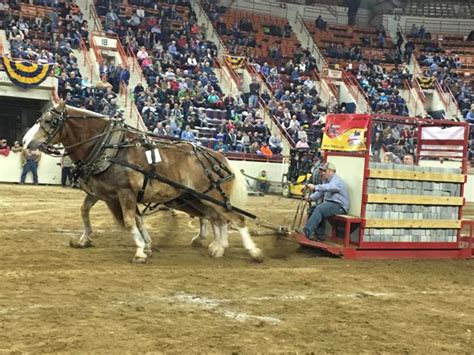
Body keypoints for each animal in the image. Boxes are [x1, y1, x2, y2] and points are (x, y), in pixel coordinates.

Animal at [23, 101, 262, 262]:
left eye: (49, 121)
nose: (26, 143)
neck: (108, 146)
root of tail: (220, 157)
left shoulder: (125, 193)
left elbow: (131, 221)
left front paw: (140, 250)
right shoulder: (102, 193)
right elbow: (86, 211)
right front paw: (85, 239)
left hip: (211, 197)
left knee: (236, 219)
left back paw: (253, 251)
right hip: (197, 198)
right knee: (218, 219)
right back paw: (218, 247)